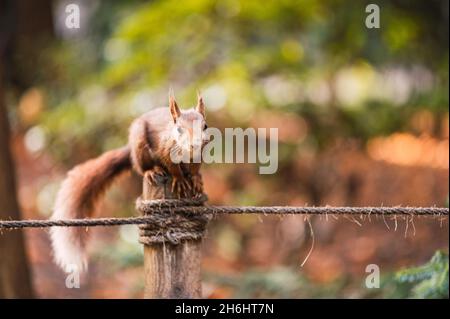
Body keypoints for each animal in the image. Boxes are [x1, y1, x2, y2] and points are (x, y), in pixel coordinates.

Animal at [51, 92, 209, 272]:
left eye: (205, 126)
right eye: (179, 129)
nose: (195, 144)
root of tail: (130, 149)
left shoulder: (199, 154)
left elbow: (195, 168)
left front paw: (195, 178)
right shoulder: (165, 149)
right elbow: (172, 166)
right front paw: (180, 179)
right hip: (139, 145)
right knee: (141, 166)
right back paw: (152, 171)